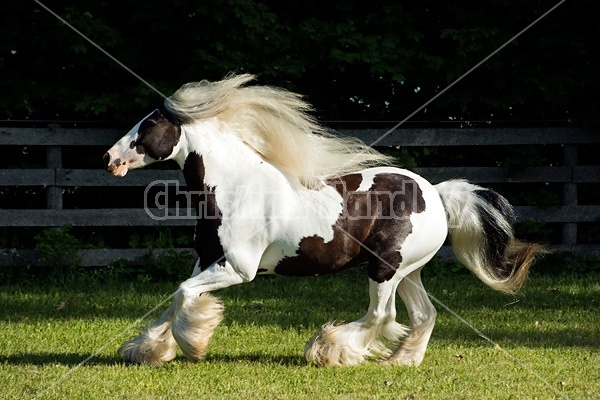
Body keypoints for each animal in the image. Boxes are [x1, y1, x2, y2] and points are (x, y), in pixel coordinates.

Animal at [105, 72, 548, 366]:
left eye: (149, 125)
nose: (109, 158)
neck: (234, 185)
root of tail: (437, 195)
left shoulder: (237, 268)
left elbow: (183, 294)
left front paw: (191, 345)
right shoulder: (206, 260)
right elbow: (177, 298)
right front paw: (148, 350)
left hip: (384, 268)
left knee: (382, 315)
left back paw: (327, 348)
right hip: (408, 271)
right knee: (424, 314)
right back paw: (398, 361)